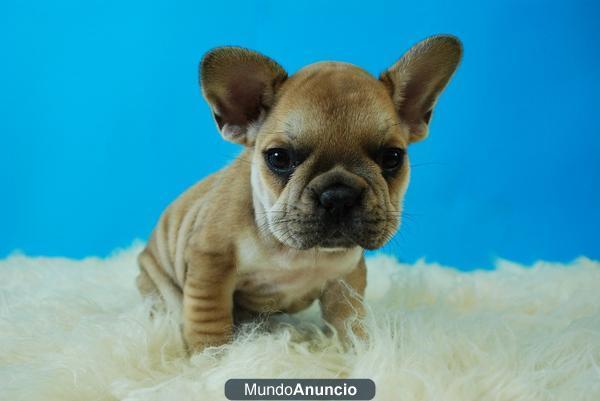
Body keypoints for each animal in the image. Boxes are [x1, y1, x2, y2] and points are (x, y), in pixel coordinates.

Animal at [138, 36, 462, 352]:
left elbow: (349, 318)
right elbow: (209, 316)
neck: (293, 251)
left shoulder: (346, 278)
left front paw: (360, 349)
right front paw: (213, 356)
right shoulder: (211, 262)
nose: (339, 195)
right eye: (279, 158)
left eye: (392, 157)